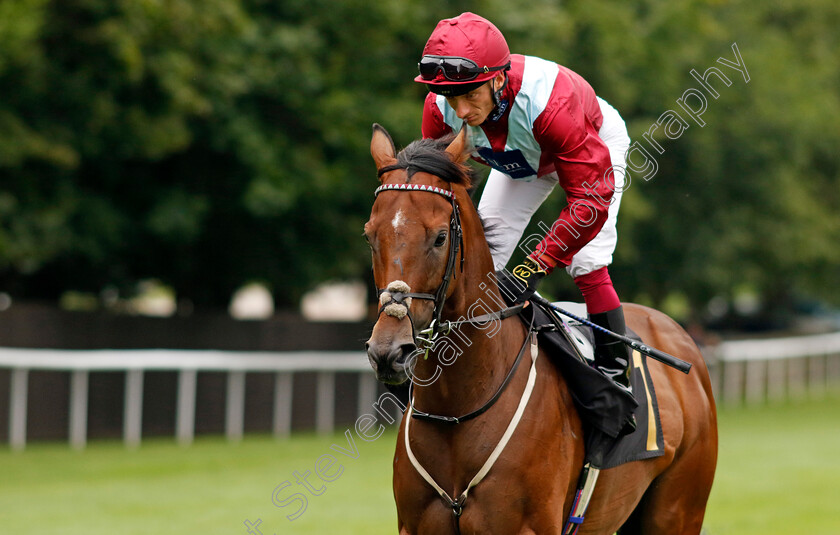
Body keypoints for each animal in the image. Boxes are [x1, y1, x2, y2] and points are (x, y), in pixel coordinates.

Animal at [364, 125, 720, 535]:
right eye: (370, 235)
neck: (456, 410)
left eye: (440, 237)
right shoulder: (416, 525)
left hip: (678, 511)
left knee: (590, 264)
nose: (388, 350)